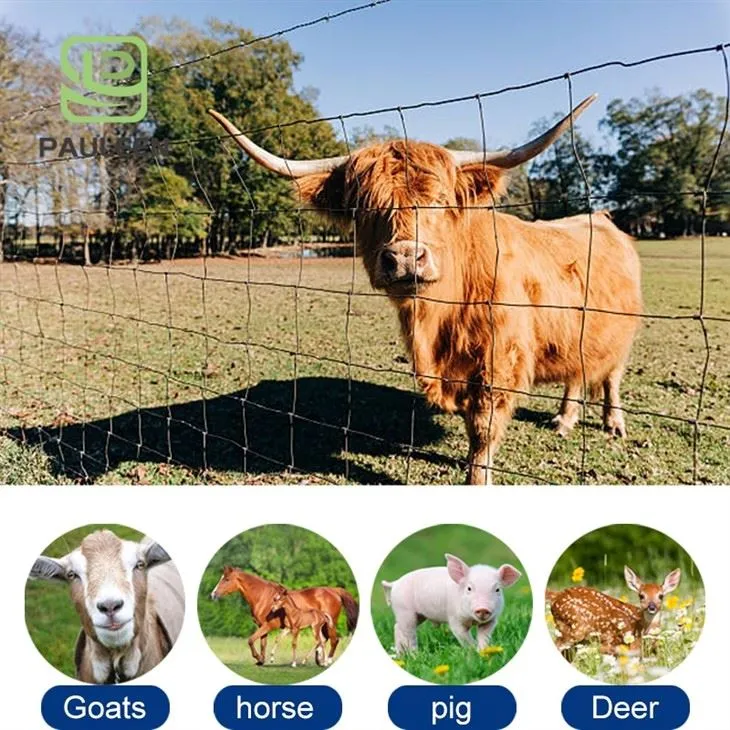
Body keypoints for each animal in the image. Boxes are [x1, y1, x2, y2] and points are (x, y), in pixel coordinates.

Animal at [207, 94, 642, 484]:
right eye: (365, 206)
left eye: (439, 201)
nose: (403, 257)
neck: (439, 322)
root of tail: (601, 219)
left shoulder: (499, 362)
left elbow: (482, 430)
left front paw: (476, 480)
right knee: (577, 373)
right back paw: (564, 420)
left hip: (623, 335)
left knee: (611, 376)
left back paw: (613, 422)